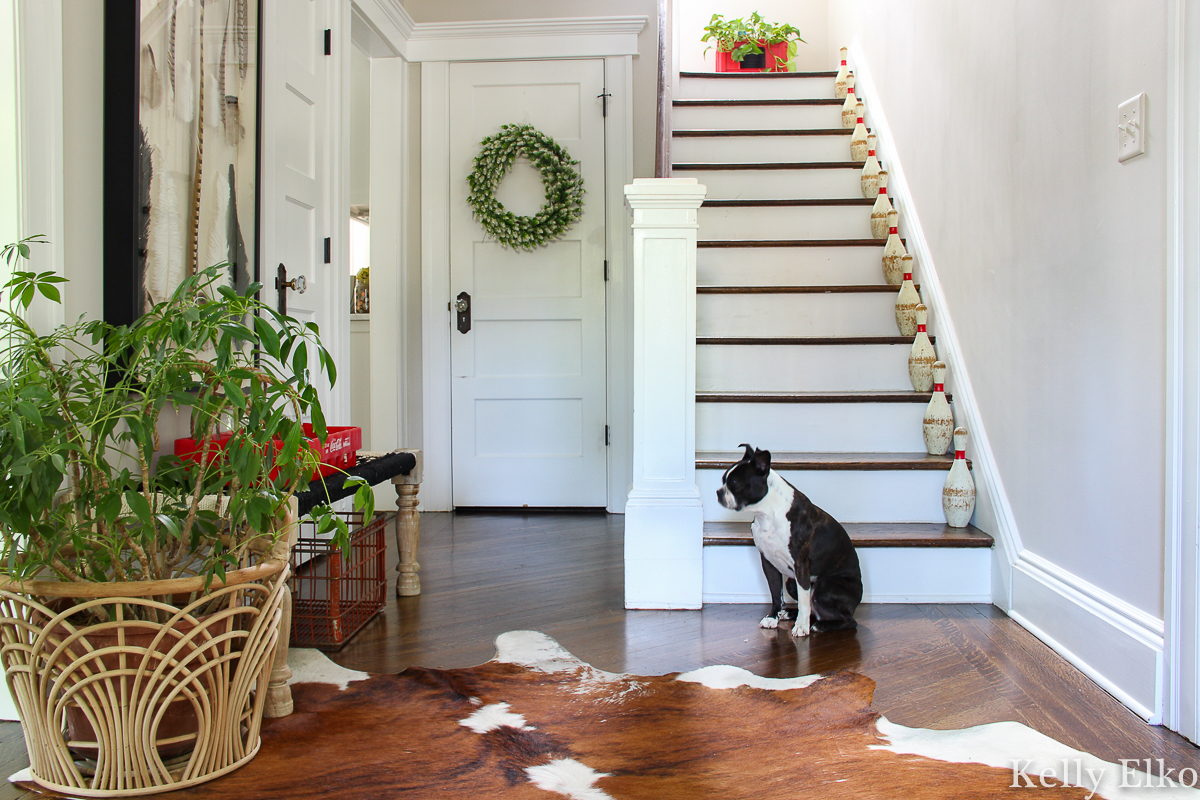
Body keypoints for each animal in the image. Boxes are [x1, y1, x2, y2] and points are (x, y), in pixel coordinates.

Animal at [715, 443, 859, 638]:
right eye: (723, 480)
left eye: (735, 483)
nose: (718, 492)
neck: (767, 513)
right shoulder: (768, 562)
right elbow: (776, 593)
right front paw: (772, 617)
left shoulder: (801, 565)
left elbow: (804, 601)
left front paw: (801, 626)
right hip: (792, 582)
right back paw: (791, 613)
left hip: (824, 586)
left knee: (848, 620)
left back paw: (820, 626)